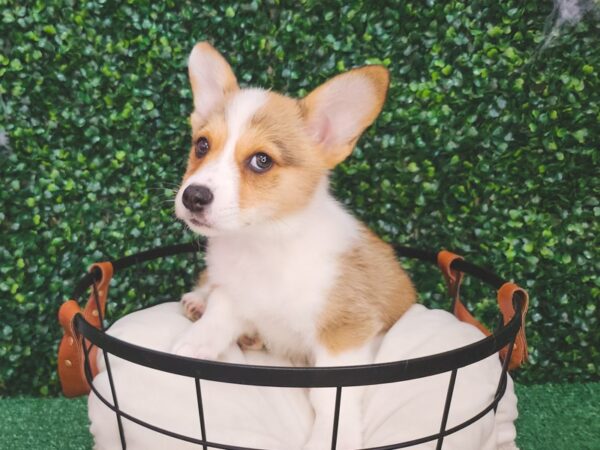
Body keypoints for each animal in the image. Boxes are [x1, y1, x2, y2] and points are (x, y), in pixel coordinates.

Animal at [172, 43, 418, 450]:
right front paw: (192, 345)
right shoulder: (233, 294)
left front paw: (334, 437)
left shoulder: (343, 334)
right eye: (201, 145)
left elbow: (331, 398)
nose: (193, 196)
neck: (263, 244)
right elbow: (217, 317)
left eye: (261, 160)